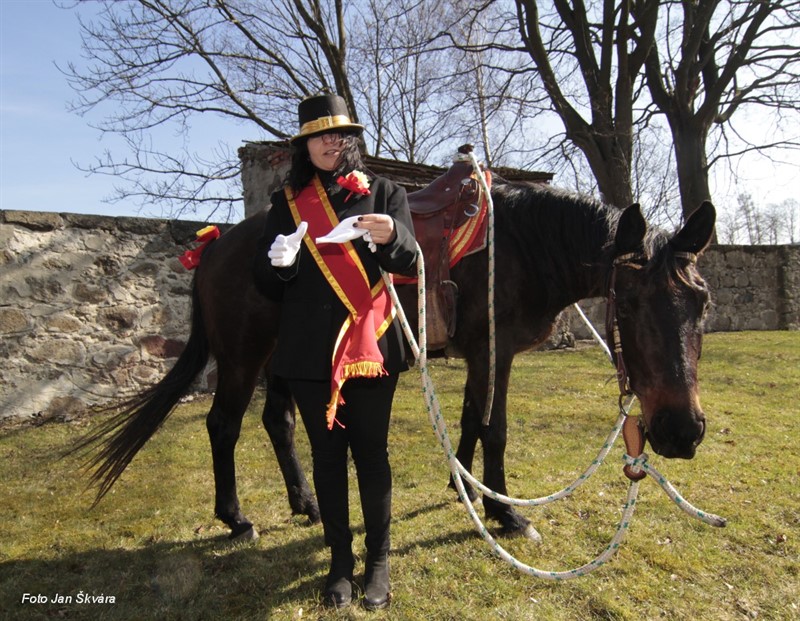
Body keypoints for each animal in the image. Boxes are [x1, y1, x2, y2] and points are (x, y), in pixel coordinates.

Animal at [81, 173, 716, 536]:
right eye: (628, 303)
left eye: (702, 303)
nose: (683, 432)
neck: (521, 247)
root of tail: (214, 248)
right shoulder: (496, 351)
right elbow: (494, 427)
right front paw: (505, 513)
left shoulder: (479, 355)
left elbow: (469, 420)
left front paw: (466, 490)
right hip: (241, 356)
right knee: (223, 425)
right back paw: (236, 519)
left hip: (284, 356)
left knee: (277, 421)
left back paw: (307, 503)